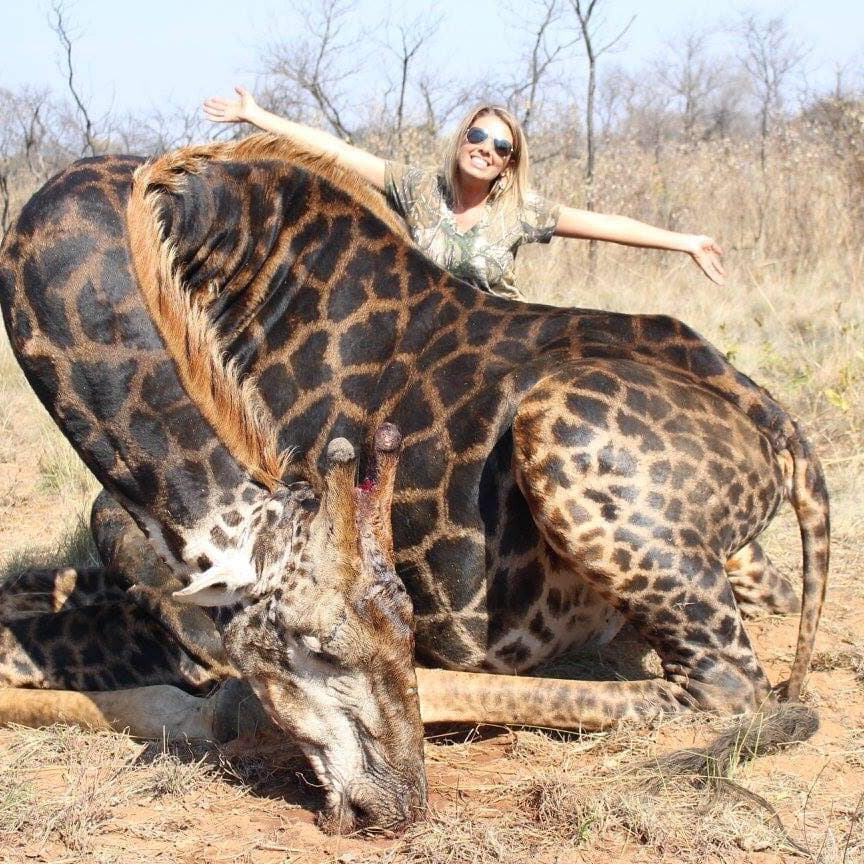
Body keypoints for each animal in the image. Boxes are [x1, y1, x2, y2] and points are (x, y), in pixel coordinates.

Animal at [0, 136, 828, 818]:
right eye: (318, 646)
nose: (399, 802)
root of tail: (775, 428)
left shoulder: (190, 621)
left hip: (558, 429)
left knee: (726, 687)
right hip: (725, 557)